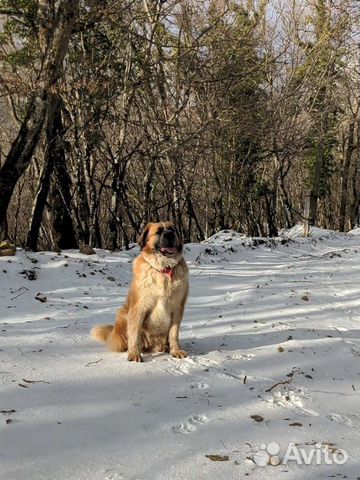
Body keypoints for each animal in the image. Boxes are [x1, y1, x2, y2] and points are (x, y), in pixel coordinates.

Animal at [90, 223, 188, 362]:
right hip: (123, 315)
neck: (163, 270)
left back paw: (165, 347)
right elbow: (135, 333)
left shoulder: (177, 308)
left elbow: (173, 333)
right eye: (159, 231)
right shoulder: (139, 307)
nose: (170, 234)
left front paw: (176, 351)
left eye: (172, 229)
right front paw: (134, 353)